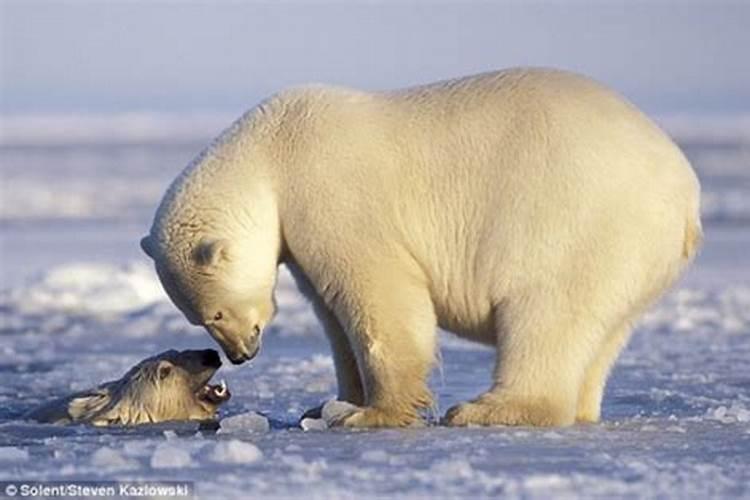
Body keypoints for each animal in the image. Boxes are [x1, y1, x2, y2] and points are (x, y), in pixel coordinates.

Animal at [141, 66, 704, 428]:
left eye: (213, 313)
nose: (241, 355)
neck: (271, 150)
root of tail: (686, 193)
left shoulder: (332, 191)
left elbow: (380, 296)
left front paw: (372, 413)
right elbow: (332, 314)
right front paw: (326, 405)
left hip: (580, 222)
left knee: (546, 314)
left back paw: (486, 409)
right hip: (632, 257)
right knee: (600, 333)